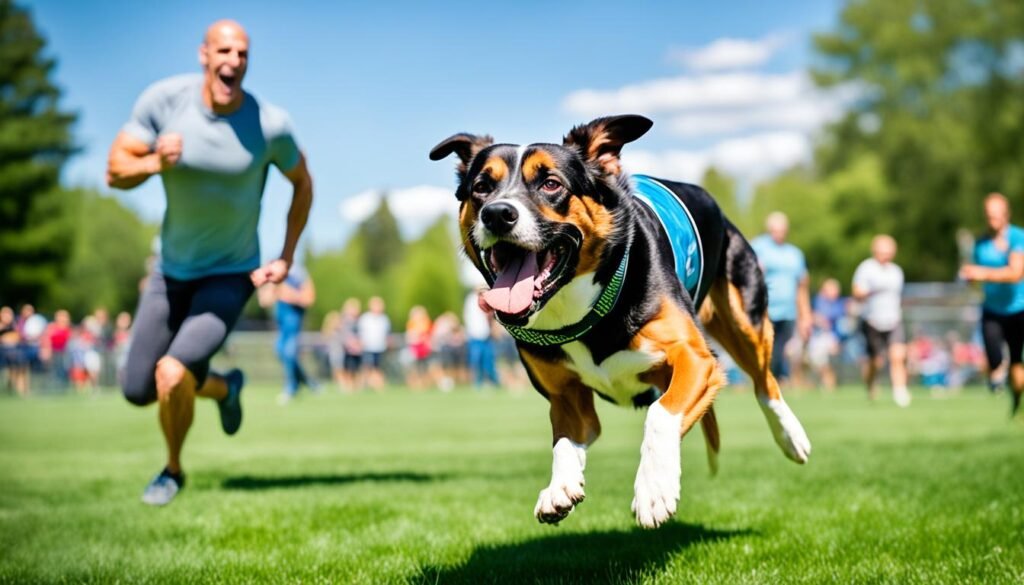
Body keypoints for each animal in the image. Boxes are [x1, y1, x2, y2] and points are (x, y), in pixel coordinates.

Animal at [428, 115, 811, 532]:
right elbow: (564, 441)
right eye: (482, 187)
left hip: (746, 319)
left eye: (551, 183)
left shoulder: (697, 359)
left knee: (764, 379)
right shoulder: (565, 396)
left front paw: (654, 489)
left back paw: (791, 436)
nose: (497, 213)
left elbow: (661, 414)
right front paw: (560, 486)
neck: (579, 311)